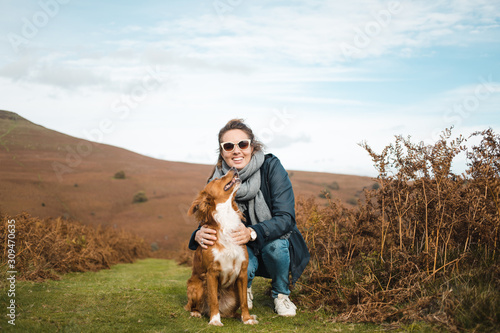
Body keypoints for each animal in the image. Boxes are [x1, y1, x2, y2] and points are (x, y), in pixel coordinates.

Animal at [186, 167, 260, 326]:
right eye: (216, 179)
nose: (233, 168)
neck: (226, 217)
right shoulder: (211, 272)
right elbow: (213, 300)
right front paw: (214, 320)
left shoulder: (242, 272)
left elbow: (245, 302)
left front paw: (247, 319)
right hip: (196, 286)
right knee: (194, 306)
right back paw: (196, 312)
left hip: (234, 294)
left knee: (233, 311)